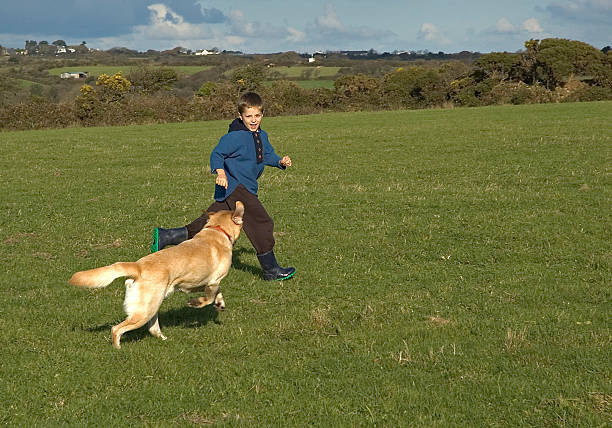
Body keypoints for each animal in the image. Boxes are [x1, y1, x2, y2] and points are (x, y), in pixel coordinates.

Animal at [69, 201, 244, 348]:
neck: (217, 230)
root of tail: (138, 266)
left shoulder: (200, 284)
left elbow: (216, 294)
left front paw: (220, 303)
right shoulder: (213, 281)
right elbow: (208, 298)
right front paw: (197, 303)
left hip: (152, 306)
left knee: (152, 329)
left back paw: (164, 339)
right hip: (144, 311)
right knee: (116, 329)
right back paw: (117, 349)